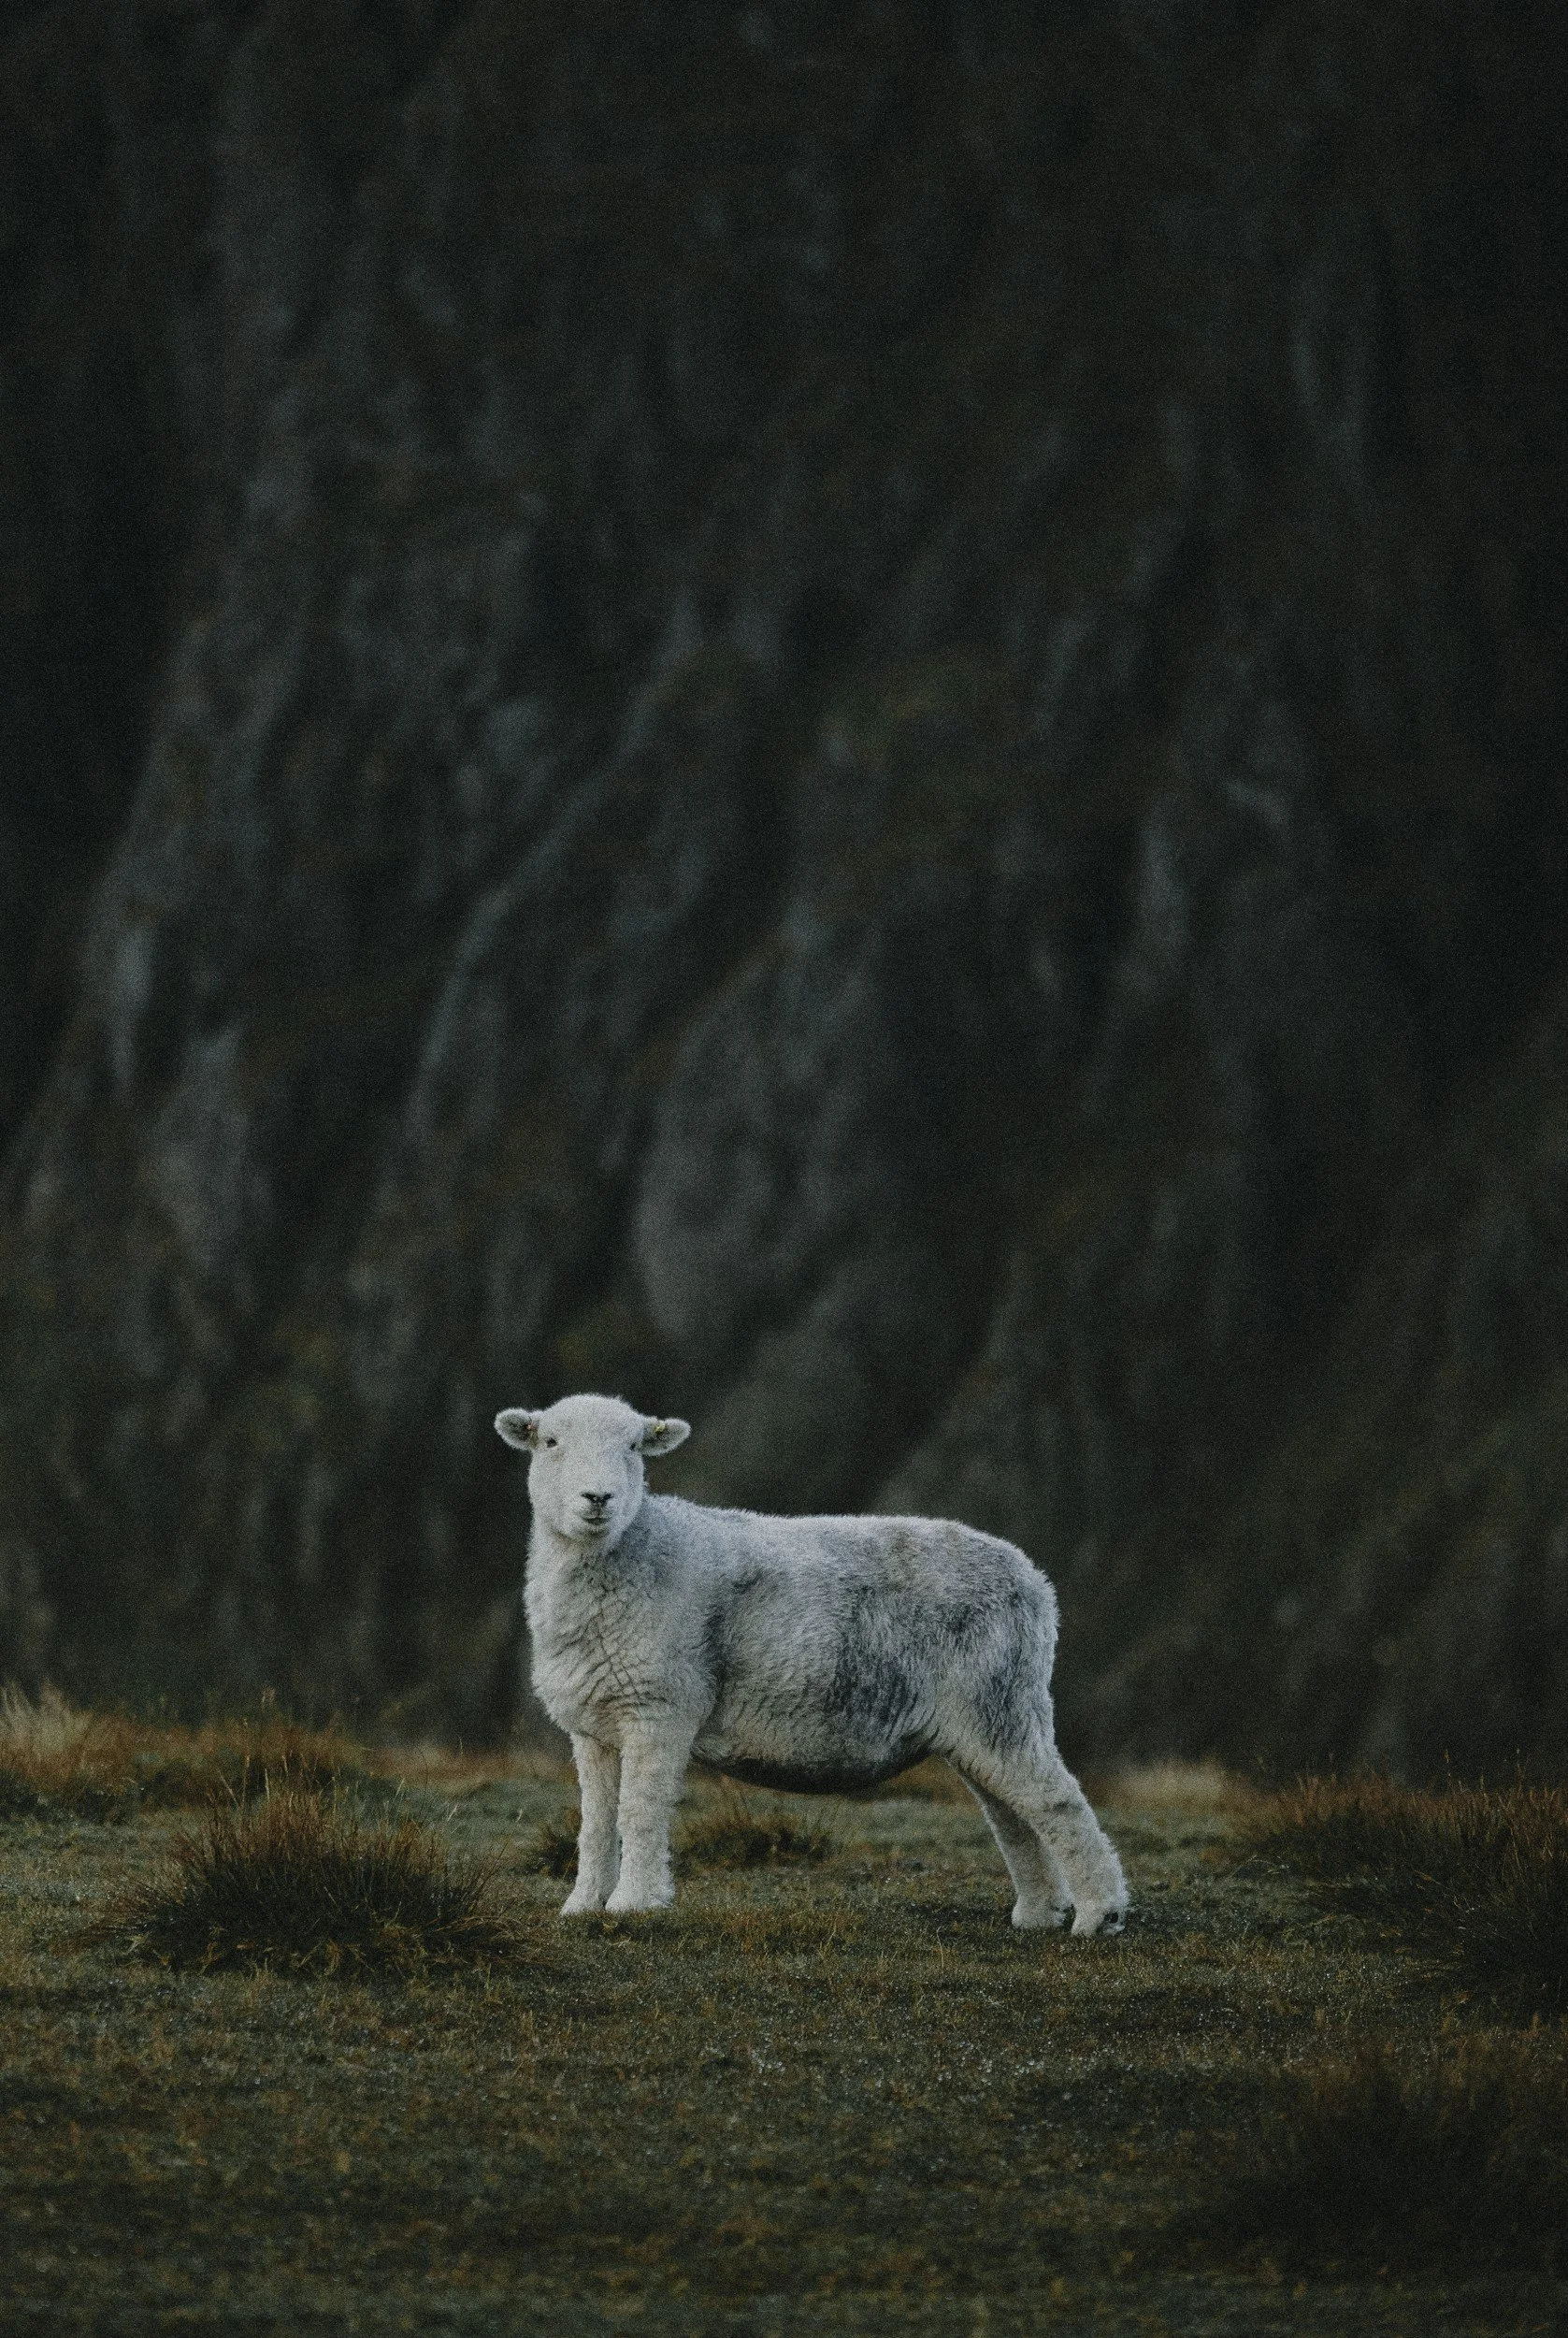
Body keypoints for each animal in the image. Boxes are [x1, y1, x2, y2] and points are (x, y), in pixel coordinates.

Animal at [494, 1392, 1128, 1933]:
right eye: (549, 1442)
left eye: (632, 1446)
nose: (598, 1498)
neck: (633, 1552)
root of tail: (1035, 1580)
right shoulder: (595, 1722)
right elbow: (597, 1821)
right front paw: (582, 1906)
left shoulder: (660, 1704)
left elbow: (640, 1811)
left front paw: (635, 1905)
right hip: (984, 1716)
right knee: (1012, 1812)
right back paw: (1039, 1914)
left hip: (998, 1695)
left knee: (1057, 1801)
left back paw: (1100, 1914)